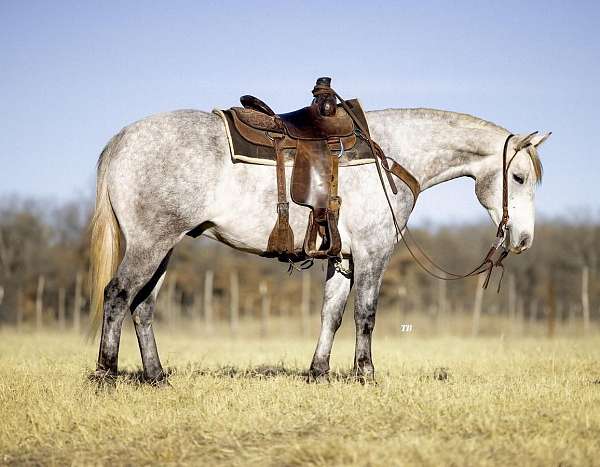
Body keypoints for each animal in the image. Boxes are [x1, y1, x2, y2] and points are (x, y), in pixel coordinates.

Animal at [88, 108, 548, 386]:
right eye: (519, 177)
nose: (524, 241)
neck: (390, 157)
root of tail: (123, 138)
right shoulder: (373, 254)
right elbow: (365, 315)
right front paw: (365, 374)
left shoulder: (342, 259)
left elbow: (332, 314)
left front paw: (319, 372)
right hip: (150, 244)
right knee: (118, 295)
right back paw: (105, 375)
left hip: (164, 248)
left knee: (143, 306)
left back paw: (157, 376)